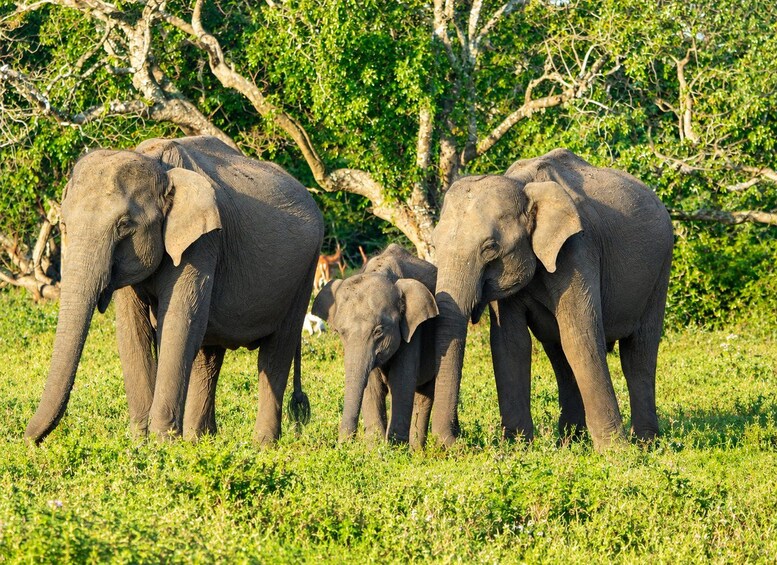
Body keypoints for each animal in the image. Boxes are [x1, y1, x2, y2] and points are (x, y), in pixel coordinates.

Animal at [25, 135, 324, 445]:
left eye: (124, 225)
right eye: (64, 224)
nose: (30, 441)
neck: (159, 167)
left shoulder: (203, 242)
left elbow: (178, 324)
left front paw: (161, 443)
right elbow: (133, 331)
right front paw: (141, 442)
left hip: (305, 271)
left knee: (275, 354)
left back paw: (261, 445)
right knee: (209, 354)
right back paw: (199, 441)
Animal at [312, 244, 438, 448]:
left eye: (379, 331)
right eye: (340, 332)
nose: (342, 445)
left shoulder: (413, 330)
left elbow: (401, 381)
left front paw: (394, 450)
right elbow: (372, 387)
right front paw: (375, 448)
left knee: (424, 395)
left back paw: (416, 449)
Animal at [431, 148, 673, 451]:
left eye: (490, 248)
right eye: (434, 244)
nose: (457, 440)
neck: (523, 186)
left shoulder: (578, 248)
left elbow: (580, 337)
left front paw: (615, 451)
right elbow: (510, 343)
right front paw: (516, 446)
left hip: (660, 270)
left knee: (638, 353)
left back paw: (644, 443)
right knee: (559, 355)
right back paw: (571, 441)